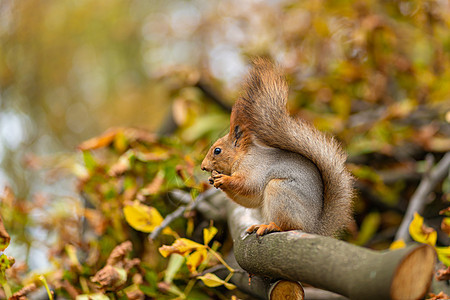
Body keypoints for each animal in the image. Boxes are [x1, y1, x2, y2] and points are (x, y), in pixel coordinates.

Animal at [202, 58, 354, 237]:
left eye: (217, 151)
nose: (203, 167)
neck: (242, 156)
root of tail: (314, 227)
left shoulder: (254, 168)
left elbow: (249, 186)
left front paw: (224, 179)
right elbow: (249, 200)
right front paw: (213, 179)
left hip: (280, 191)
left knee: (288, 225)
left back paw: (272, 226)